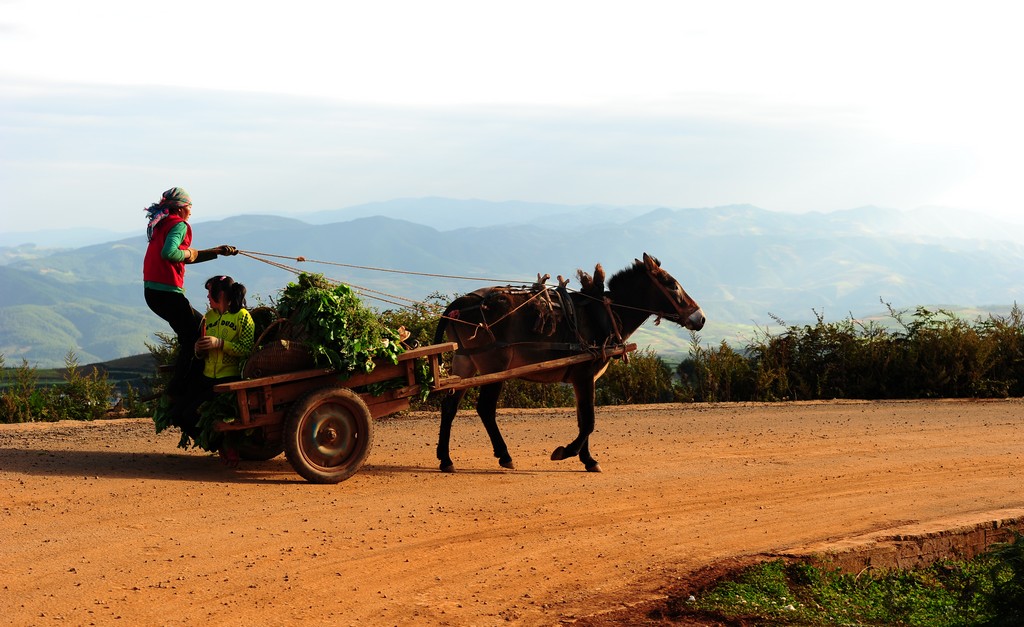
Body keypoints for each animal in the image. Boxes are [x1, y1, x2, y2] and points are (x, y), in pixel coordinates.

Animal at [432, 252, 704, 473]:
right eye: (672, 286)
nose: (700, 318)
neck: (604, 314)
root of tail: (460, 304)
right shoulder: (585, 375)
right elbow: (589, 421)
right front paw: (566, 452)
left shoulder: (580, 380)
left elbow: (583, 419)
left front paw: (588, 459)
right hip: (494, 367)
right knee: (485, 409)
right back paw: (504, 455)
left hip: (465, 364)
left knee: (449, 406)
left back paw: (445, 459)